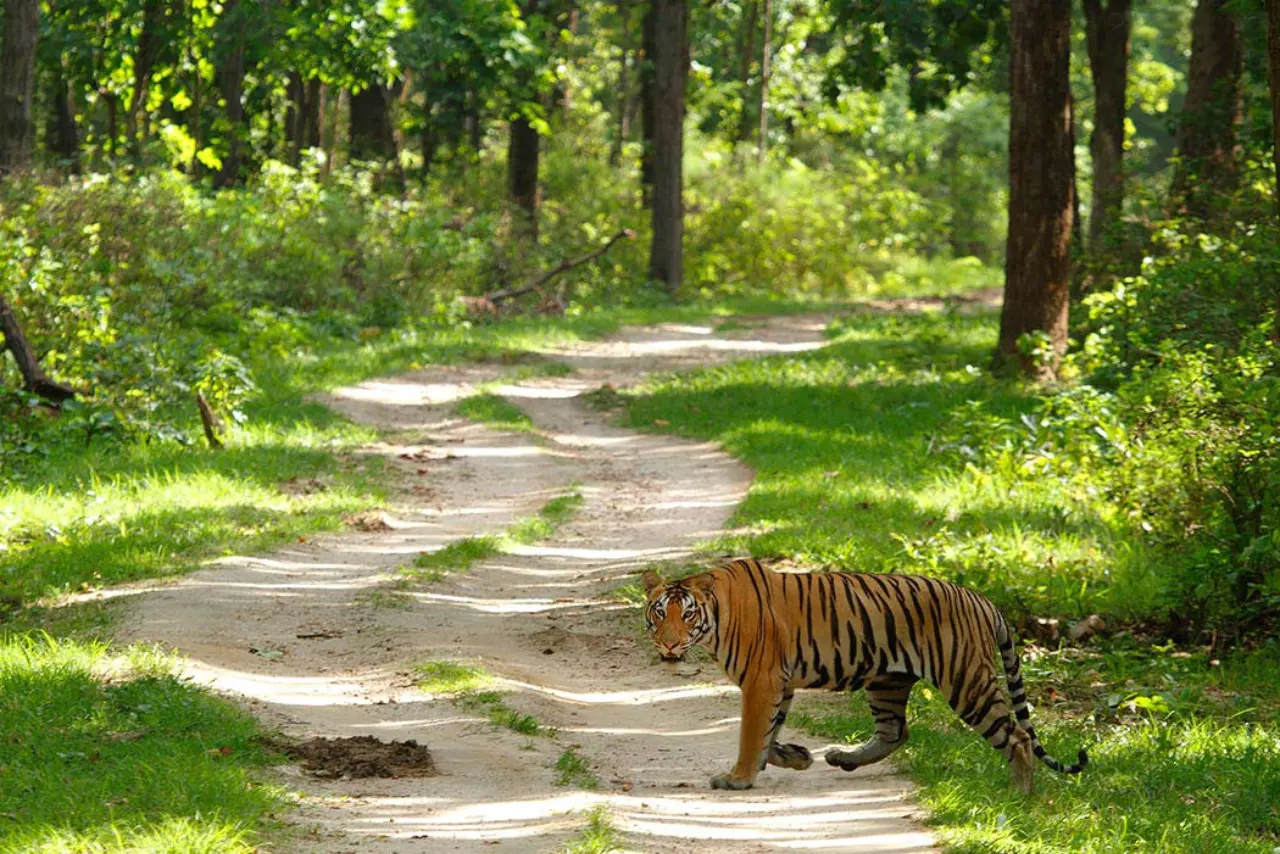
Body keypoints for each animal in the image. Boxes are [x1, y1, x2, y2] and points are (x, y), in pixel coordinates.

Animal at [642, 558, 1087, 793]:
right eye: (660, 613)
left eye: (688, 615)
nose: (669, 645)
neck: (716, 619)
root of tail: (982, 599)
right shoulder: (778, 683)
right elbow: (769, 732)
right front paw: (795, 757)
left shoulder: (761, 681)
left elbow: (751, 734)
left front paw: (738, 778)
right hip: (887, 681)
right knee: (896, 732)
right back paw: (843, 758)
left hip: (965, 680)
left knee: (1017, 736)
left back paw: (1019, 793)